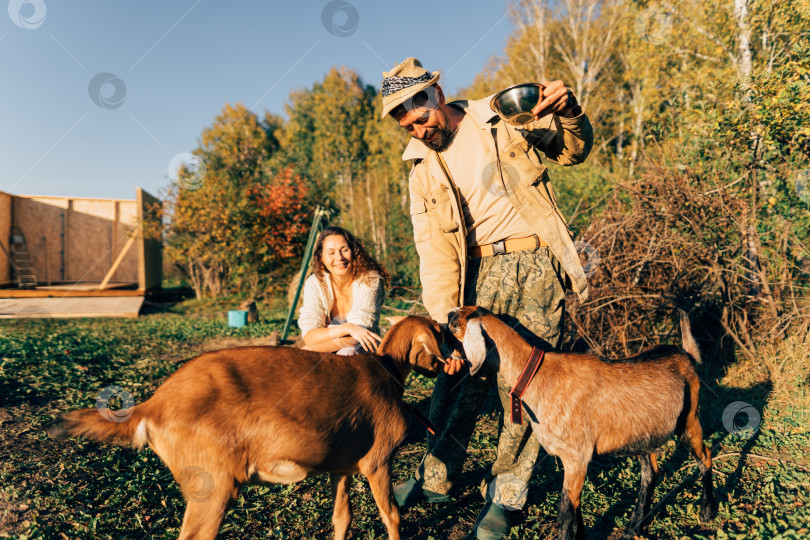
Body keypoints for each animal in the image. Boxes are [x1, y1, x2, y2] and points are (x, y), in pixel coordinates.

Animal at [49, 316, 448, 540]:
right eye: (441, 333)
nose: (451, 361)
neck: (388, 371)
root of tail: (152, 406)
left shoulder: (342, 465)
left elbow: (341, 518)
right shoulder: (377, 460)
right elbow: (391, 515)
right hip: (212, 483)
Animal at [446, 308, 716, 540]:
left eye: (455, 323)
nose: (447, 314)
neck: (538, 375)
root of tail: (687, 355)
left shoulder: (576, 456)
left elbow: (565, 510)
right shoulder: (574, 459)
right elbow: (575, 509)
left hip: (689, 419)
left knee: (705, 456)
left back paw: (707, 512)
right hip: (643, 435)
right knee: (651, 473)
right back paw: (633, 528)